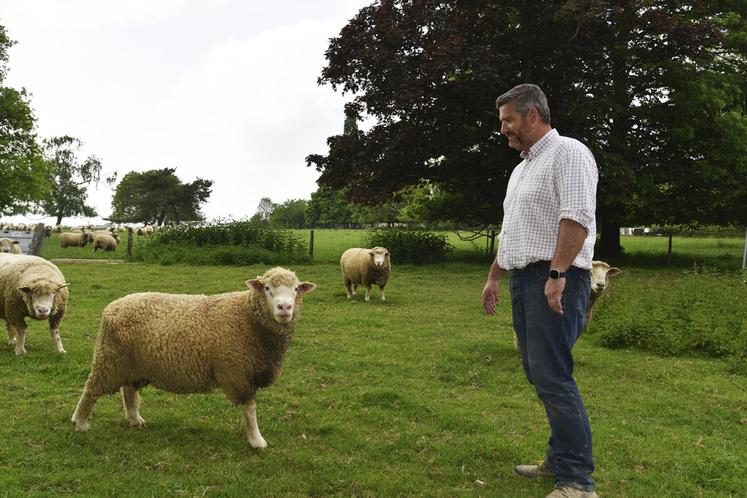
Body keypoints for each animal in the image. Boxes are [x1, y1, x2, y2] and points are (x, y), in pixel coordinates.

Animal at [74, 266, 322, 450]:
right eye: (268, 288)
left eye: (296, 289)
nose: (284, 308)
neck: (248, 318)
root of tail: (114, 305)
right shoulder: (237, 371)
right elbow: (250, 408)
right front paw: (256, 440)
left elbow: (247, 411)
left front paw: (247, 432)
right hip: (109, 358)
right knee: (91, 391)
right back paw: (80, 423)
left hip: (132, 362)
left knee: (128, 390)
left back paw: (135, 420)